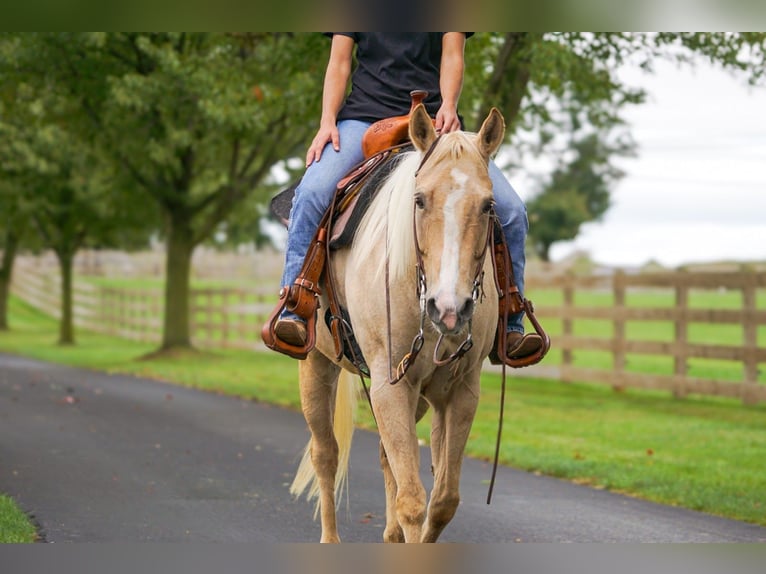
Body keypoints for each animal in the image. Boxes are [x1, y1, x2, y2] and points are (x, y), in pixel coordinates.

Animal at [290, 104, 505, 543]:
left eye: (489, 206)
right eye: (419, 200)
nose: (449, 308)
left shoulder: (460, 392)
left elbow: (442, 501)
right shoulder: (390, 386)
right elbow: (412, 502)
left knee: (388, 458)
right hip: (316, 365)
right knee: (326, 454)